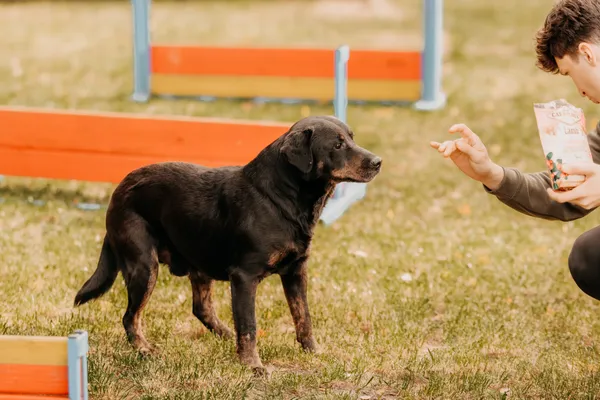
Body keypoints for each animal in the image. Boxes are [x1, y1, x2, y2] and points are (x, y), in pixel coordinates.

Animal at [74, 115, 380, 376]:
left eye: (351, 138)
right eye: (337, 145)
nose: (378, 161)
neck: (280, 199)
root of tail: (117, 192)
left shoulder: (296, 272)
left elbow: (303, 317)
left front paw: (313, 353)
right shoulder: (244, 277)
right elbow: (249, 325)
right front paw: (253, 365)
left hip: (197, 258)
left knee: (201, 308)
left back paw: (224, 336)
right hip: (144, 266)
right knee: (130, 317)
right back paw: (145, 350)